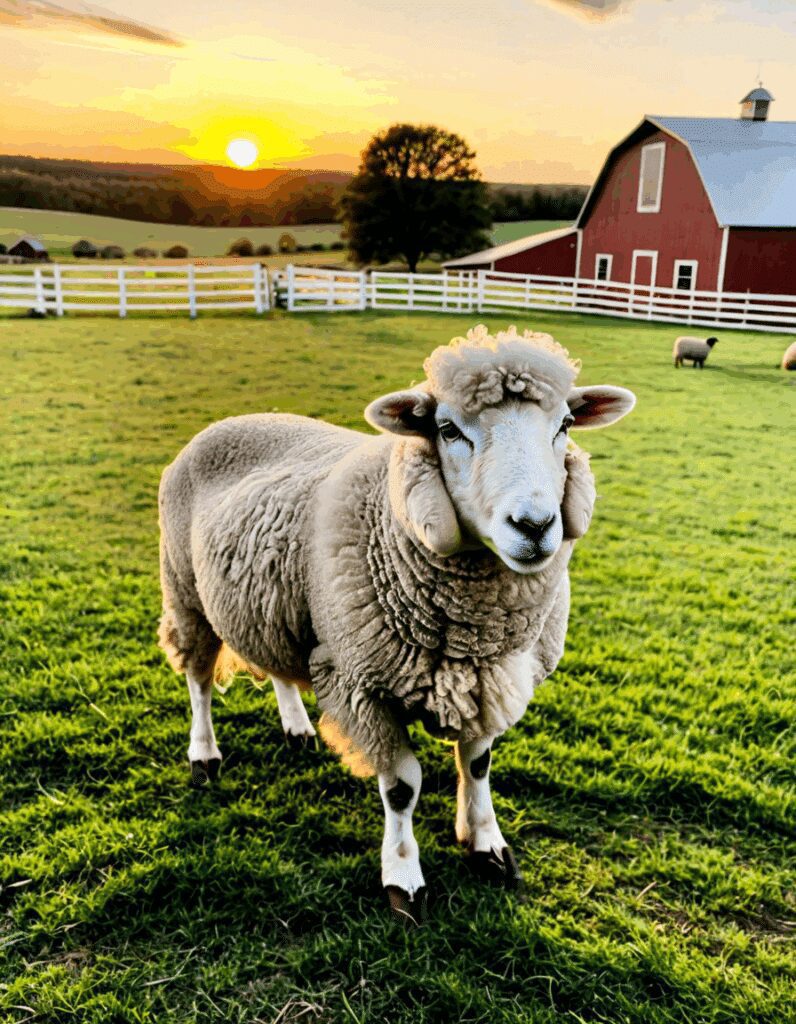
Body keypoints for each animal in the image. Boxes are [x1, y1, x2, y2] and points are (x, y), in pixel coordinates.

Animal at [157, 324, 636, 925]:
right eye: (447, 429)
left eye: (566, 424)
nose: (534, 525)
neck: (472, 629)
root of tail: (233, 418)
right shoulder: (363, 685)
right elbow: (403, 788)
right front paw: (404, 878)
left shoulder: (485, 678)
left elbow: (478, 765)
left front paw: (487, 844)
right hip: (186, 590)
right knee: (198, 678)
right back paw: (204, 755)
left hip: (279, 605)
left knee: (279, 666)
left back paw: (297, 728)